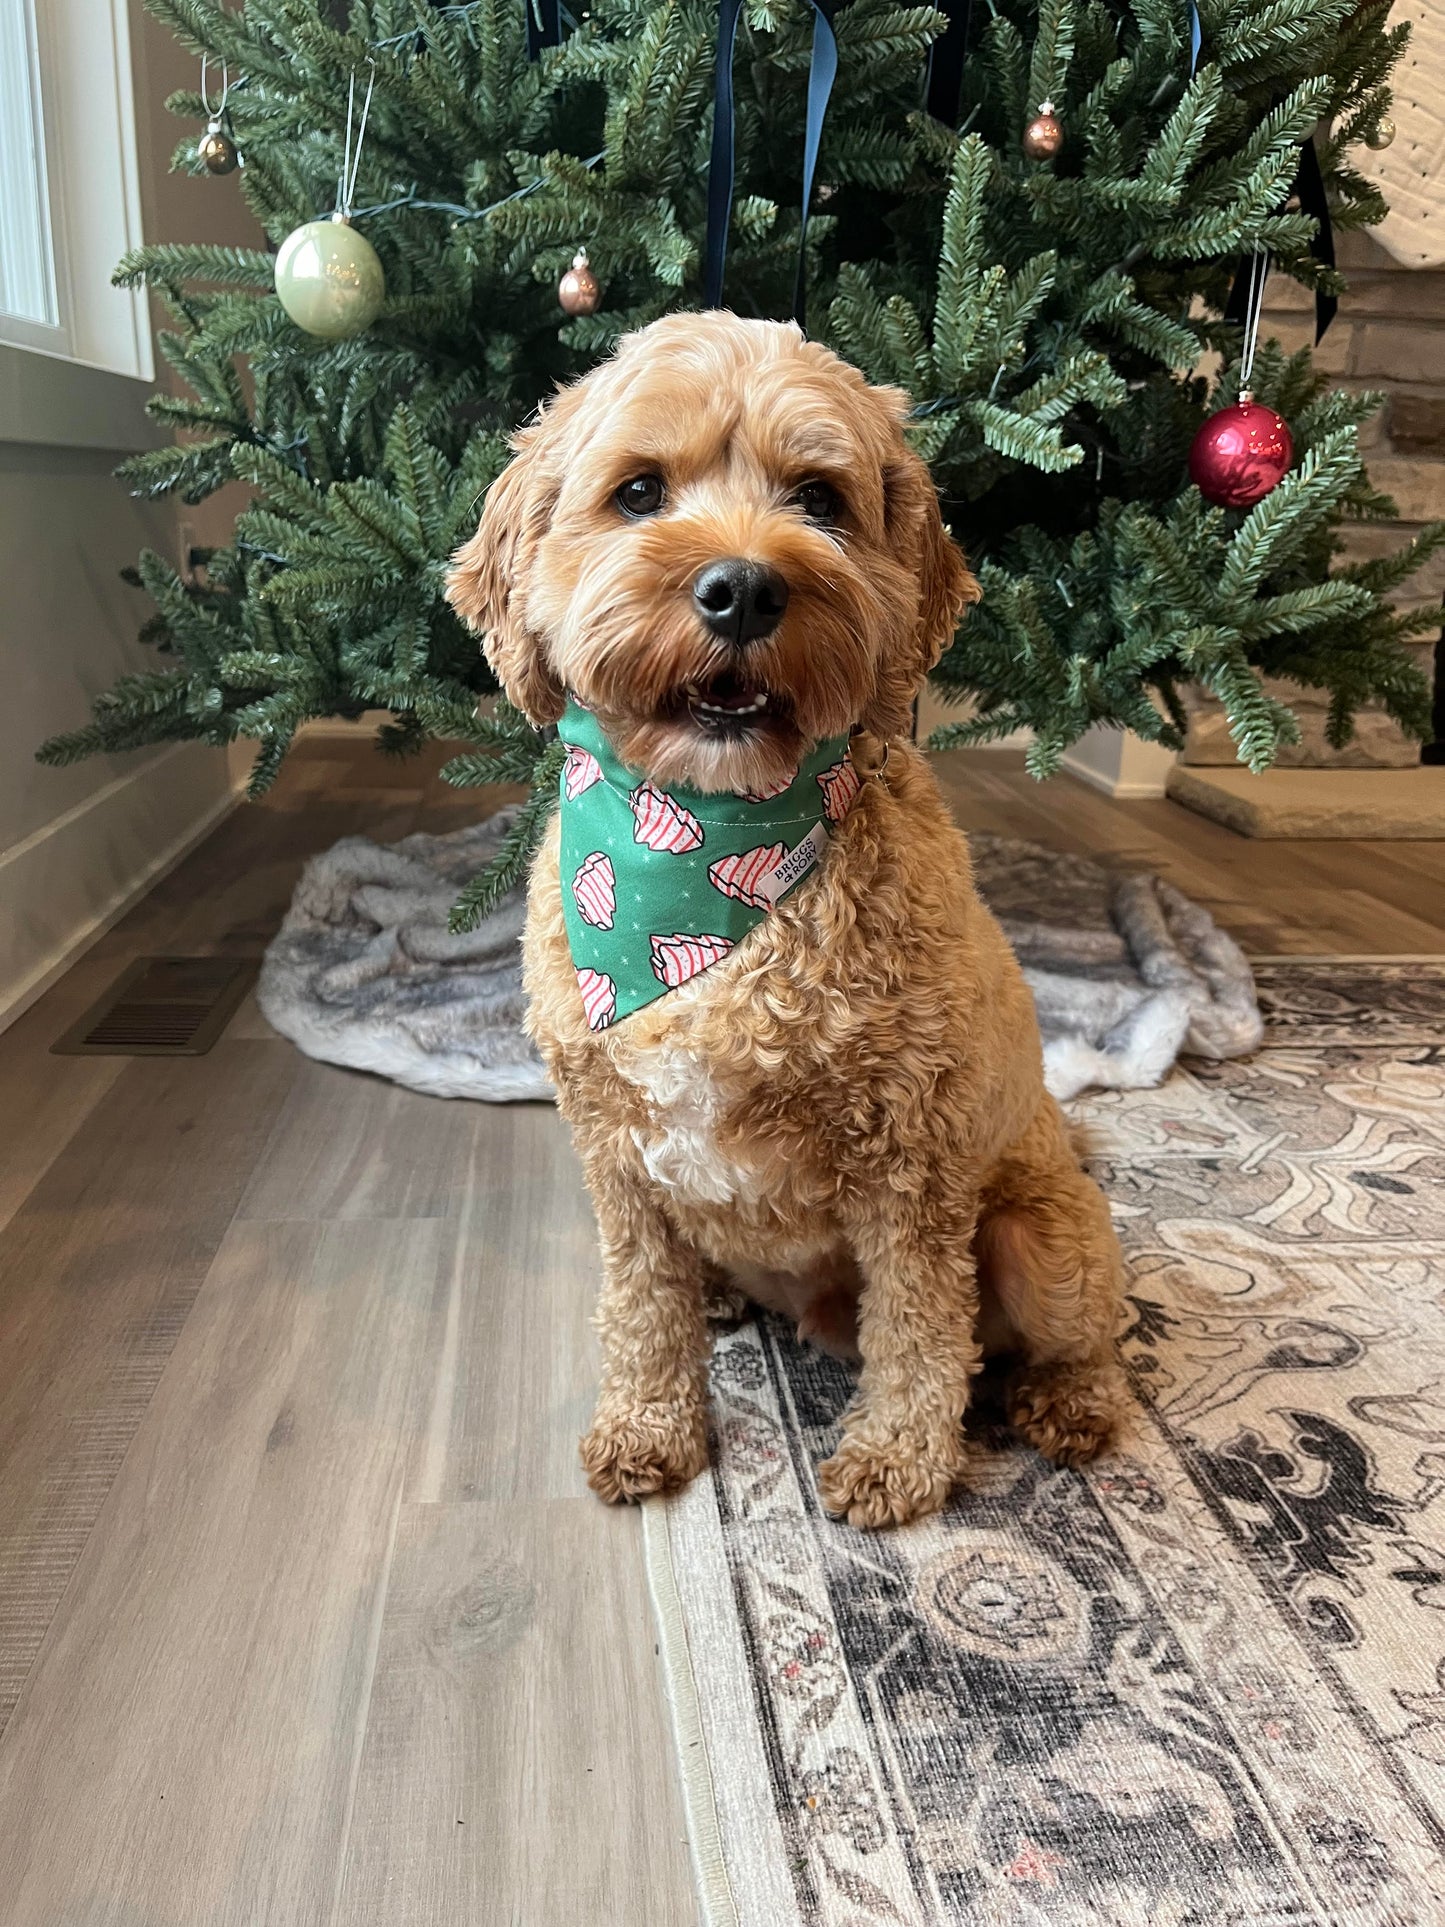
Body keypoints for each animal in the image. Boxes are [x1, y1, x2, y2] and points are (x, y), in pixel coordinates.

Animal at [446, 308, 1125, 1526]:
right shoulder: (615, 1157)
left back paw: (1071, 1404)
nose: (743, 590)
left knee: (1082, 1332)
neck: (709, 864)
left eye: (819, 497)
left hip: (1035, 1235)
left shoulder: (912, 1163)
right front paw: (647, 1423)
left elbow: (919, 1328)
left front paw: (896, 1461)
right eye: (638, 491)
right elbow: (640, 1305)